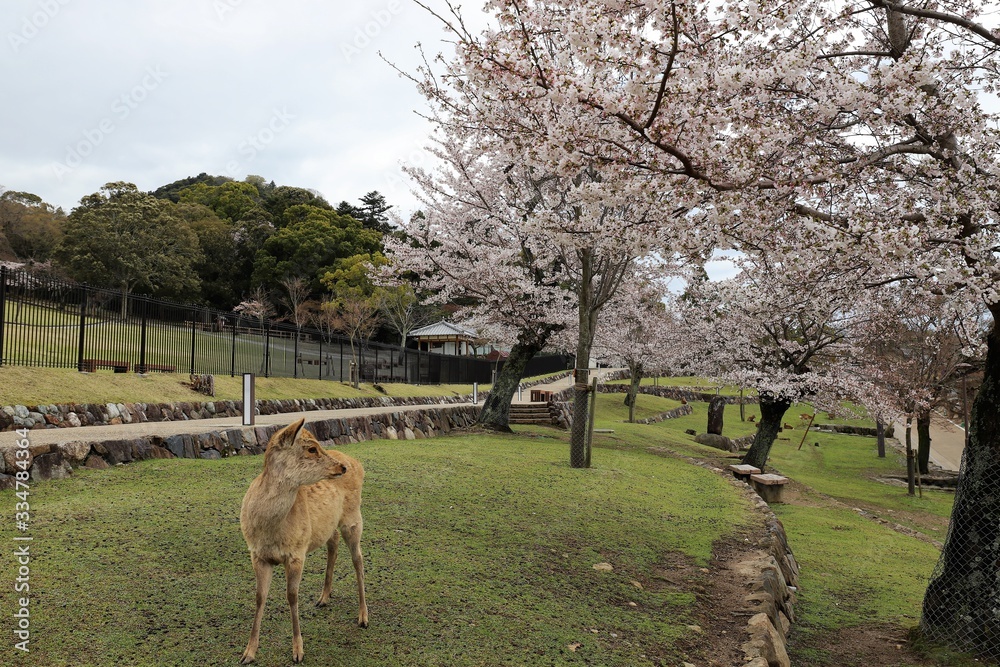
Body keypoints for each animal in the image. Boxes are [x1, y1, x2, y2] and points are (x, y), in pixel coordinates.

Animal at [239, 418, 367, 664]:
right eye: (311, 449)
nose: (341, 467)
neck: (270, 530)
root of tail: (358, 463)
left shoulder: (297, 552)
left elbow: (292, 596)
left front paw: (298, 651)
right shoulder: (257, 554)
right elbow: (259, 597)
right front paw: (248, 653)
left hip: (354, 518)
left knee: (358, 559)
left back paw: (363, 616)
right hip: (328, 526)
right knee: (333, 543)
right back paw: (324, 597)